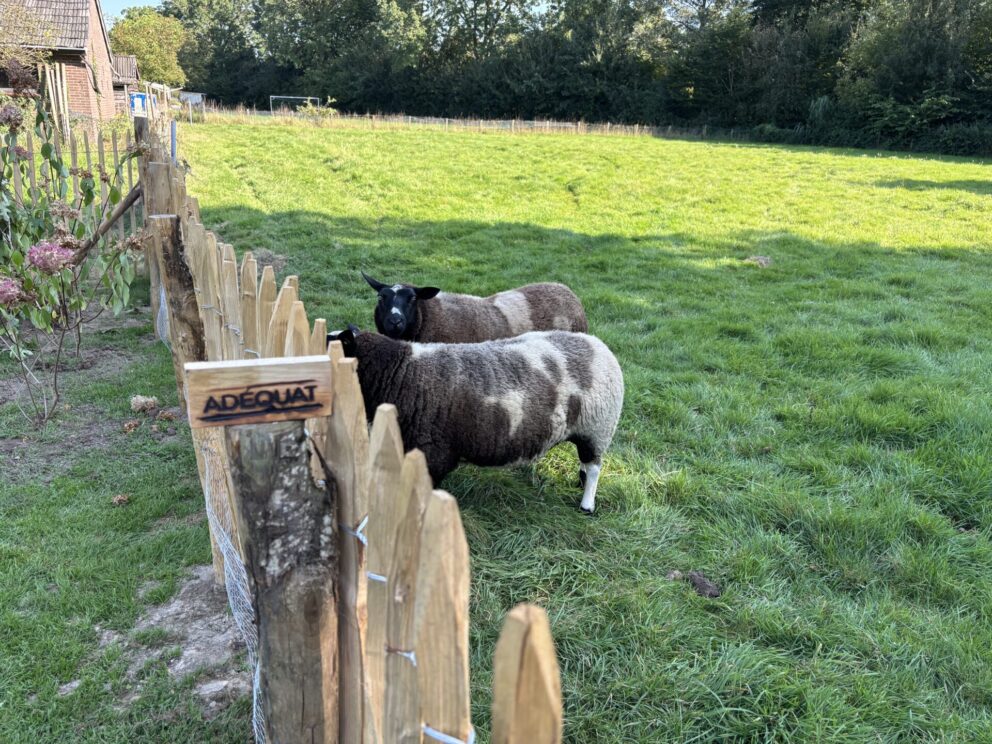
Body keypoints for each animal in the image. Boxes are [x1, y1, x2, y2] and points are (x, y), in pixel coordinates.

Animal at [328, 328, 620, 516]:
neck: (401, 372)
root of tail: (598, 345)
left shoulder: (433, 450)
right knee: (586, 464)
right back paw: (580, 481)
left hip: (596, 428)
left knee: (594, 467)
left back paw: (587, 504)